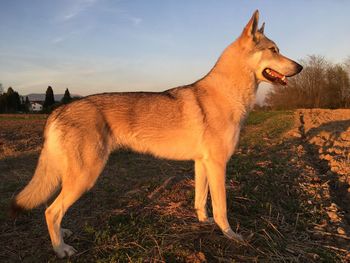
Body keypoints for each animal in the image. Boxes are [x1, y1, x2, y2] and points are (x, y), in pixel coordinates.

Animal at [10, 10, 300, 260]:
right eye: (274, 50)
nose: (301, 67)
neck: (228, 93)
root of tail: (57, 111)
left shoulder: (202, 164)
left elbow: (201, 201)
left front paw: (203, 223)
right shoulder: (218, 165)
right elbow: (222, 208)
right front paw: (231, 235)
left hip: (73, 176)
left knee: (54, 211)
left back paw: (63, 234)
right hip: (85, 176)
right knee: (51, 210)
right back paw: (61, 249)